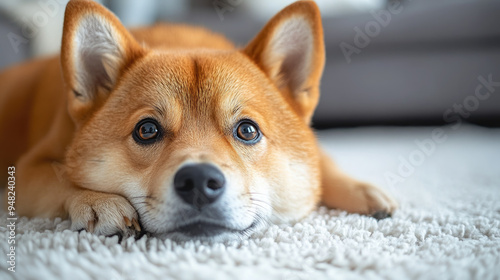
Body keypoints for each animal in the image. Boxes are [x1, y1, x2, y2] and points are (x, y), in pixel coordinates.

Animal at [1, 0, 396, 241]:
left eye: (247, 130)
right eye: (147, 130)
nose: (199, 182)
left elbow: (322, 163)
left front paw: (360, 188)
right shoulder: (27, 168)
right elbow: (58, 177)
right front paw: (97, 201)